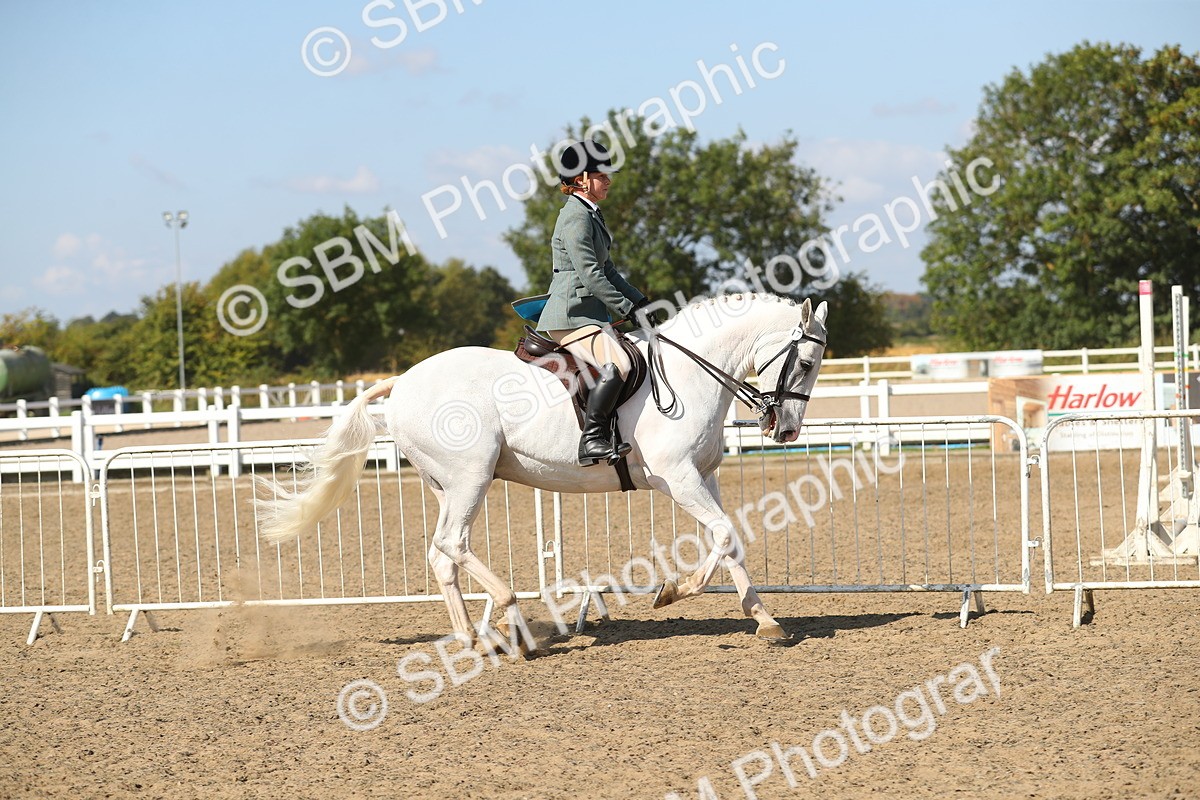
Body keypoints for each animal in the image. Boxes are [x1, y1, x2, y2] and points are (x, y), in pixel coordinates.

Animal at [257, 292, 829, 648]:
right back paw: (512, 619)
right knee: (454, 544)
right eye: (804, 364)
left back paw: (471, 638)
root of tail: (403, 381)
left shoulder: (703, 476)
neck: (690, 375)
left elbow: (728, 539)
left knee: (441, 554)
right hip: (471, 476)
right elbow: (723, 535)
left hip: (447, 486)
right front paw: (675, 591)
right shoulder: (678, 478)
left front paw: (764, 619)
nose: (786, 431)